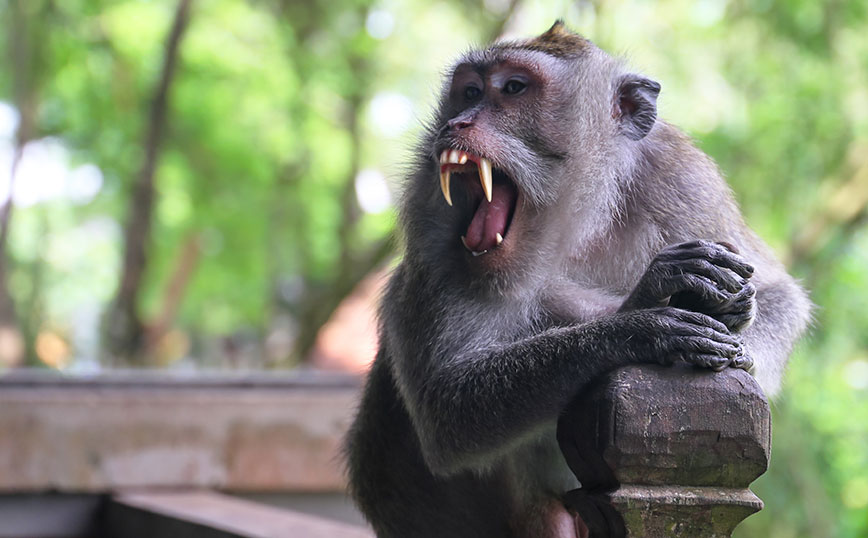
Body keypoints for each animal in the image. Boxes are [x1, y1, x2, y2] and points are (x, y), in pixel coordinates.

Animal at [344, 21, 808, 536]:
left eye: (514, 88)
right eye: (469, 93)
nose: (456, 124)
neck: (579, 223)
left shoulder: (682, 177)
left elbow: (778, 292)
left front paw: (739, 324)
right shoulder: (431, 234)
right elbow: (444, 406)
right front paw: (641, 319)